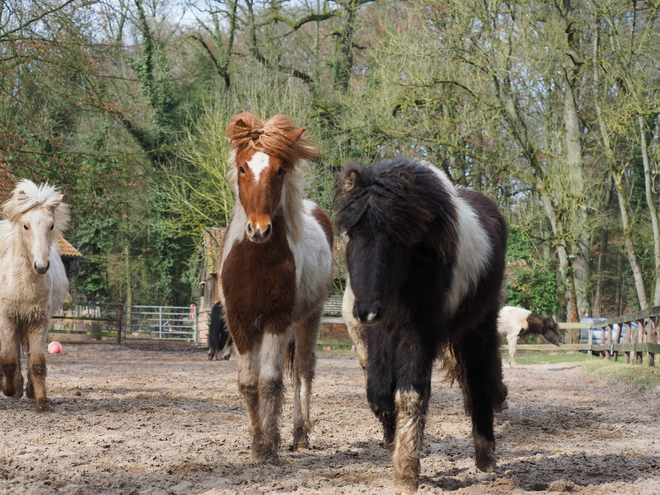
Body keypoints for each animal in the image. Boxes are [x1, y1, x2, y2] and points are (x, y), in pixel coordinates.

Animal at [0, 178, 70, 410]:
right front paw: (10, 389)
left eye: (51, 225)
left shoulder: (39, 321)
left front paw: (41, 400)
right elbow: (9, 360)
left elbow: (37, 362)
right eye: (25, 225)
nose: (41, 266)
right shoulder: (7, 320)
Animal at [222, 111, 336, 462]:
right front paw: (256, 442)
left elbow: (271, 381)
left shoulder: (278, 320)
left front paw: (268, 445)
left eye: (280, 169)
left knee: (302, 371)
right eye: (242, 167)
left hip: (309, 319)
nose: (259, 229)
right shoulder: (240, 322)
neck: (256, 261)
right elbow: (249, 383)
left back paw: (300, 436)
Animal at [338, 158, 508, 495]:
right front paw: (393, 444)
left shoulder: (419, 332)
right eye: (352, 231)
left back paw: (486, 457)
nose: (366, 311)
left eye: (395, 236)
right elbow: (379, 393)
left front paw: (406, 472)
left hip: (479, 324)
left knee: (480, 378)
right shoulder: (380, 334)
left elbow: (410, 394)